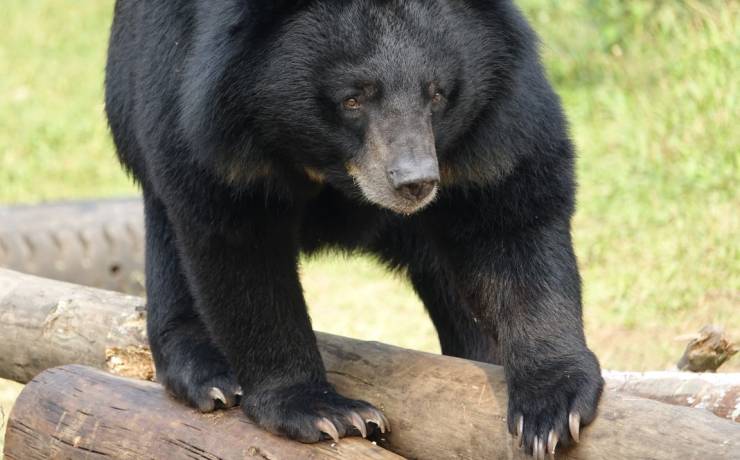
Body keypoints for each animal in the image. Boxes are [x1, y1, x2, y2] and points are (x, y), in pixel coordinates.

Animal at [104, 0, 600, 454]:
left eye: (437, 93)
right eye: (353, 99)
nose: (415, 182)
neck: (334, 169)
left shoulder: (497, 115)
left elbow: (512, 211)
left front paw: (553, 410)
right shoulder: (212, 118)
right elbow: (237, 242)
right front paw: (324, 411)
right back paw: (208, 374)